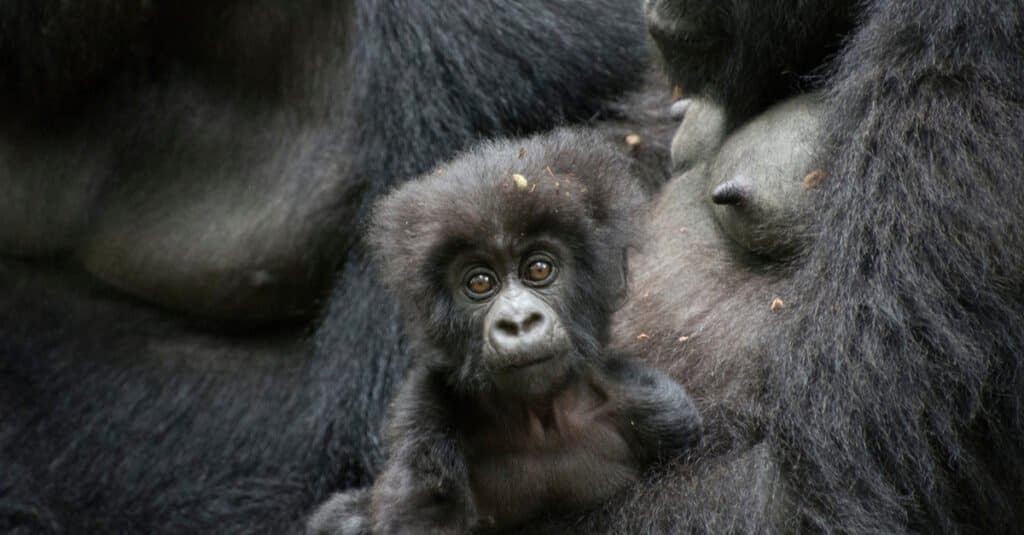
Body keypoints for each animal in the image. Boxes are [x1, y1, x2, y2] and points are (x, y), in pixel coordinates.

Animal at [307, 130, 700, 532]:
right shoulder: (424, 422)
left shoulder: (659, 408)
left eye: (539, 269)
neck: (540, 421)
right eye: (480, 282)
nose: (518, 322)